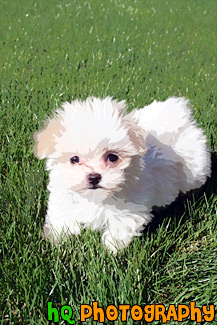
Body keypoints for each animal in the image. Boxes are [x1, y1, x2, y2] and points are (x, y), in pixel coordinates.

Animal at [34, 96, 210, 253]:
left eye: (112, 157)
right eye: (74, 159)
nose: (94, 177)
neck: (95, 198)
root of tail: (178, 112)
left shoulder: (129, 208)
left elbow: (120, 227)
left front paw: (110, 250)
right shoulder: (64, 198)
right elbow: (62, 216)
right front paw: (55, 237)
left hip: (196, 169)